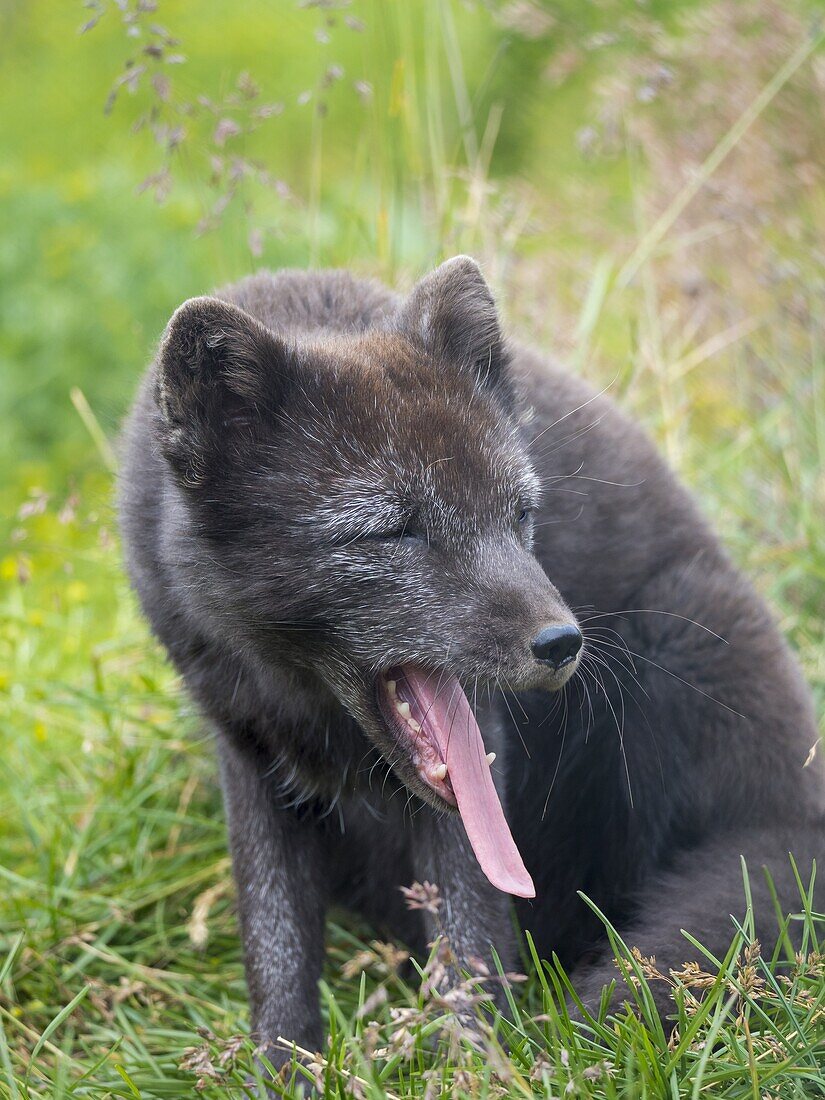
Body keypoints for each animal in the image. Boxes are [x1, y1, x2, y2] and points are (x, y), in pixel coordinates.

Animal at [119, 255, 822, 1064]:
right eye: (394, 530)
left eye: (520, 515)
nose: (562, 643)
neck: (307, 703)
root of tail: (809, 821)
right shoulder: (251, 759)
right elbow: (275, 954)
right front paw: (285, 1073)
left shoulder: (479, 749)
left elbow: (471, 947)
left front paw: (481, 1070)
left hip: (678, 650)